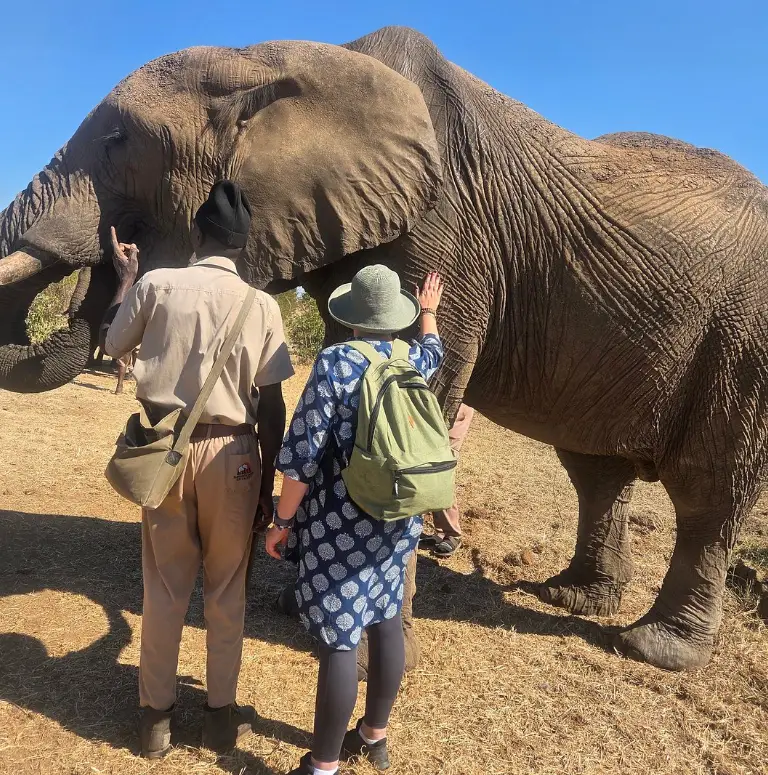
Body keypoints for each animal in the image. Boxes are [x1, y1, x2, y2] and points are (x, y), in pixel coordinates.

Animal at [0, 26, 766, 672]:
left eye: (118, 138)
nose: (117, 250)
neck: (275, 59)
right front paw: (300, 603)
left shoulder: (444, 232)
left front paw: (367, 637)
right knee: (596, 471)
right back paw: (573, 595)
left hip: (744, 343)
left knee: (709, 489)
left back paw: (655, 648)